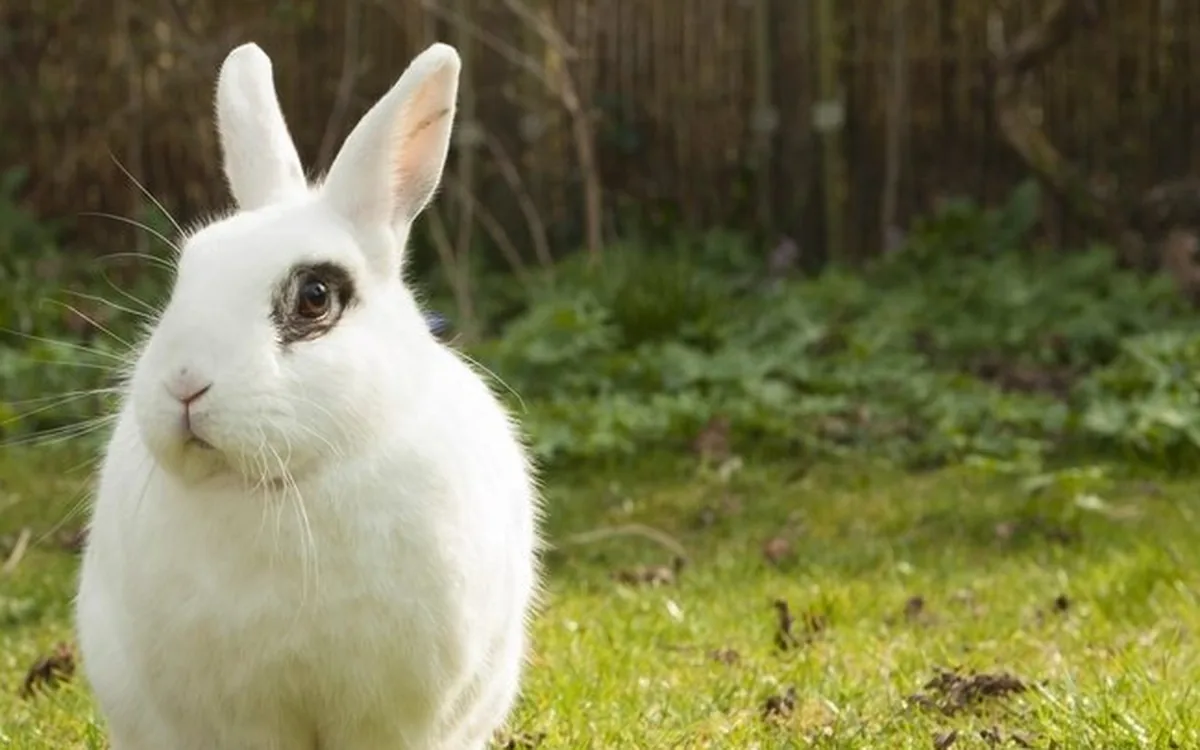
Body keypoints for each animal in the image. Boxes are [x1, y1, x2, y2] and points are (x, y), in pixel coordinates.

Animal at [74, 40, 542, 750]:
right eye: (187, 274)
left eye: (314, 296)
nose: (184, 382)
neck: (286, 484)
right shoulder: (243, 714)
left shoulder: (391, 713)